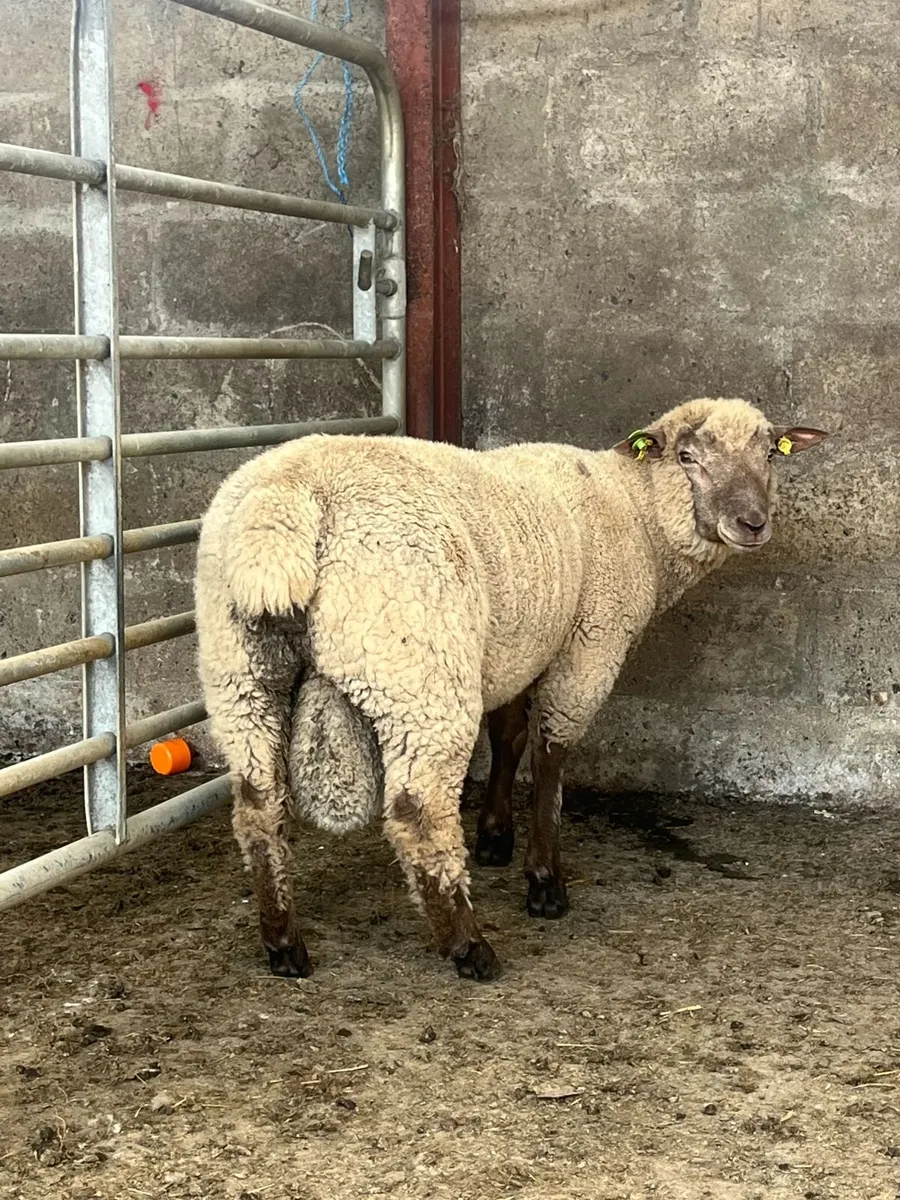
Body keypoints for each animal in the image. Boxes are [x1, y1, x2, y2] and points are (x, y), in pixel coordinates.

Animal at [194, 397, 827, 982]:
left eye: (771, 454)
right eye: (688, 456)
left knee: (257, 802)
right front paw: (543, 879)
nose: (753, 523)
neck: (635, 510)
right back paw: (468, 945)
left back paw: (283, 941)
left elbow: (509, 736)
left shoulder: (519, 647)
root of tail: (284, 506)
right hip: (420, 667)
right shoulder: (587, 646)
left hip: (239, 669)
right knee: (416, 812)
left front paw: (496, 837)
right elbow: (550, 755)